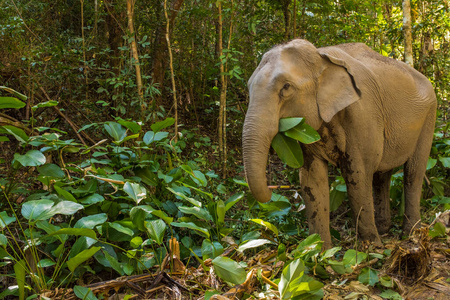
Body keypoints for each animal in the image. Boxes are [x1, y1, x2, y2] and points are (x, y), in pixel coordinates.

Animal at [244, 38, 438, 247]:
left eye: (286, 87)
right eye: (249, 88)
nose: (272, 190)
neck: (321, 57)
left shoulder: (362, 114)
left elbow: (358, 175)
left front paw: (372, 247)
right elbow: (312, 180)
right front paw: (318, 250)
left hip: (429, 117)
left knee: (413, 172)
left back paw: (411, 234)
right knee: (382, 175)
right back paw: (384, 230)